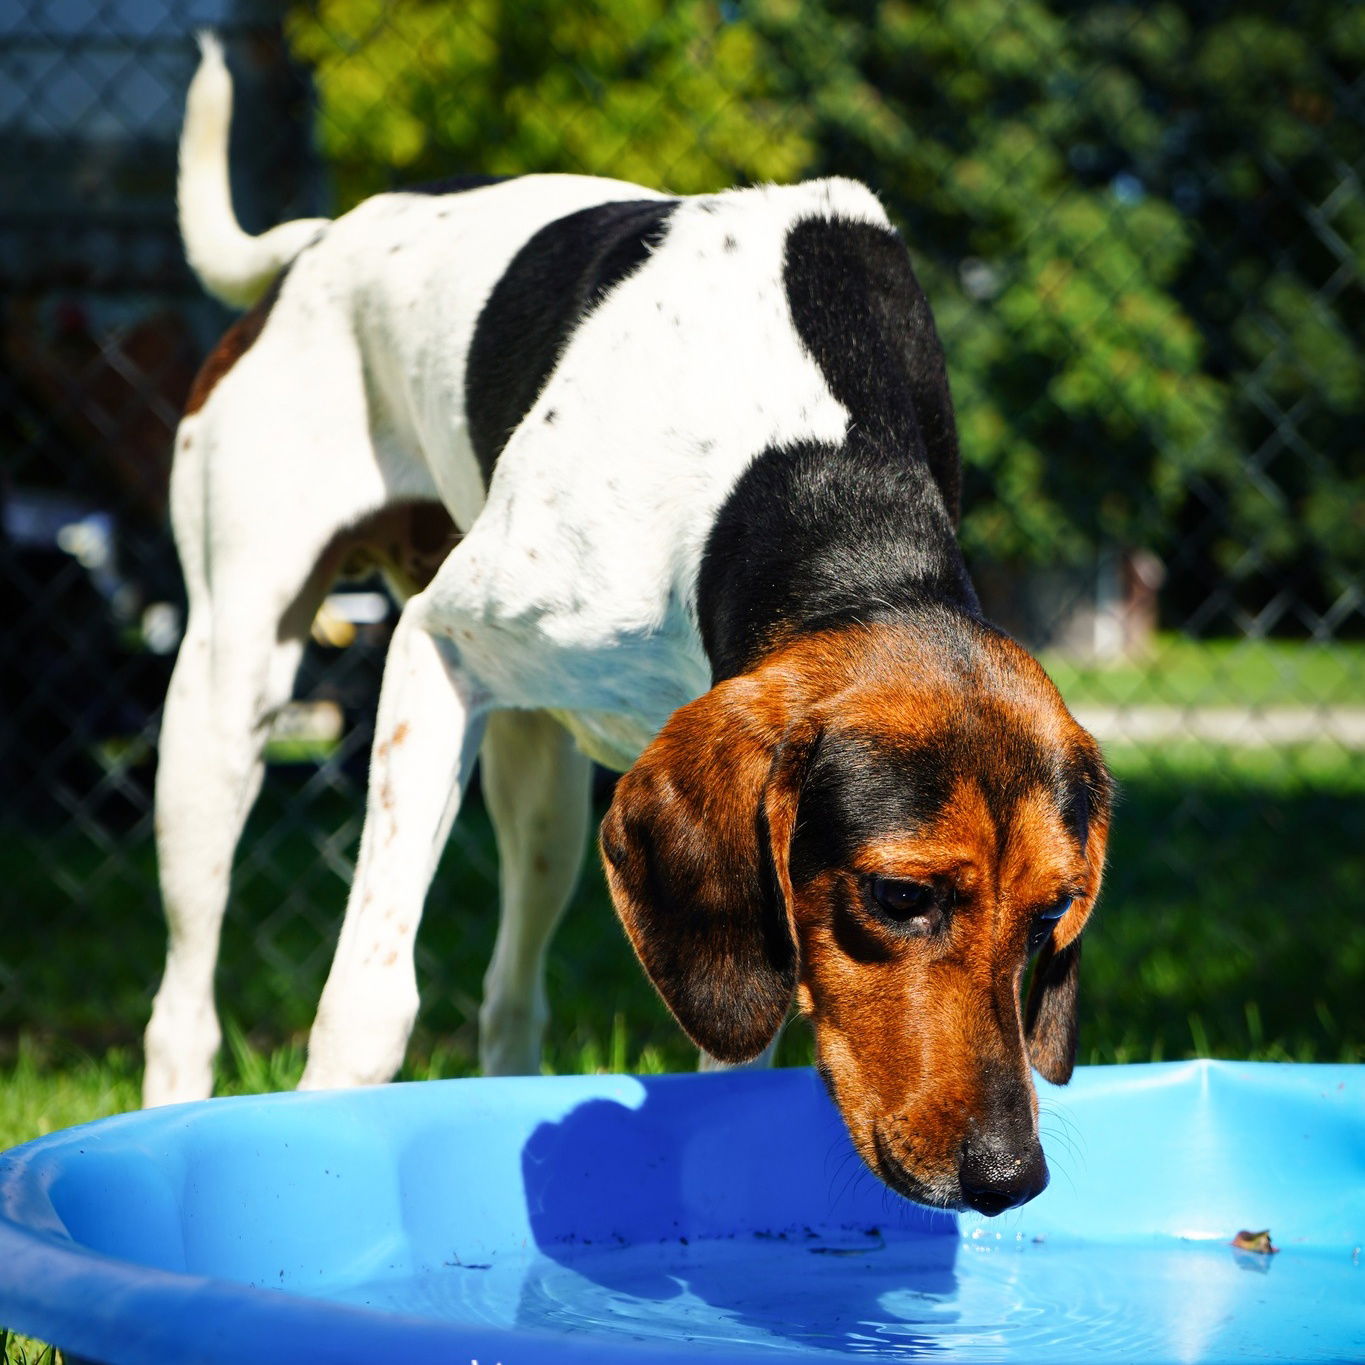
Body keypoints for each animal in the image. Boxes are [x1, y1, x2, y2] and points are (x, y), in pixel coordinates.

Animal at [144, 39, 1113, 1217]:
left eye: (1056, 914)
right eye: (900, 894)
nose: (1010, 1177)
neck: (821, 477)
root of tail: (322, 239)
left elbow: (728, 1057)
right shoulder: (433, 651)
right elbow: (370, 999)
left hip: (545, 794)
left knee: (511, 994)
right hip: (225, 697)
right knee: (184, 1000)